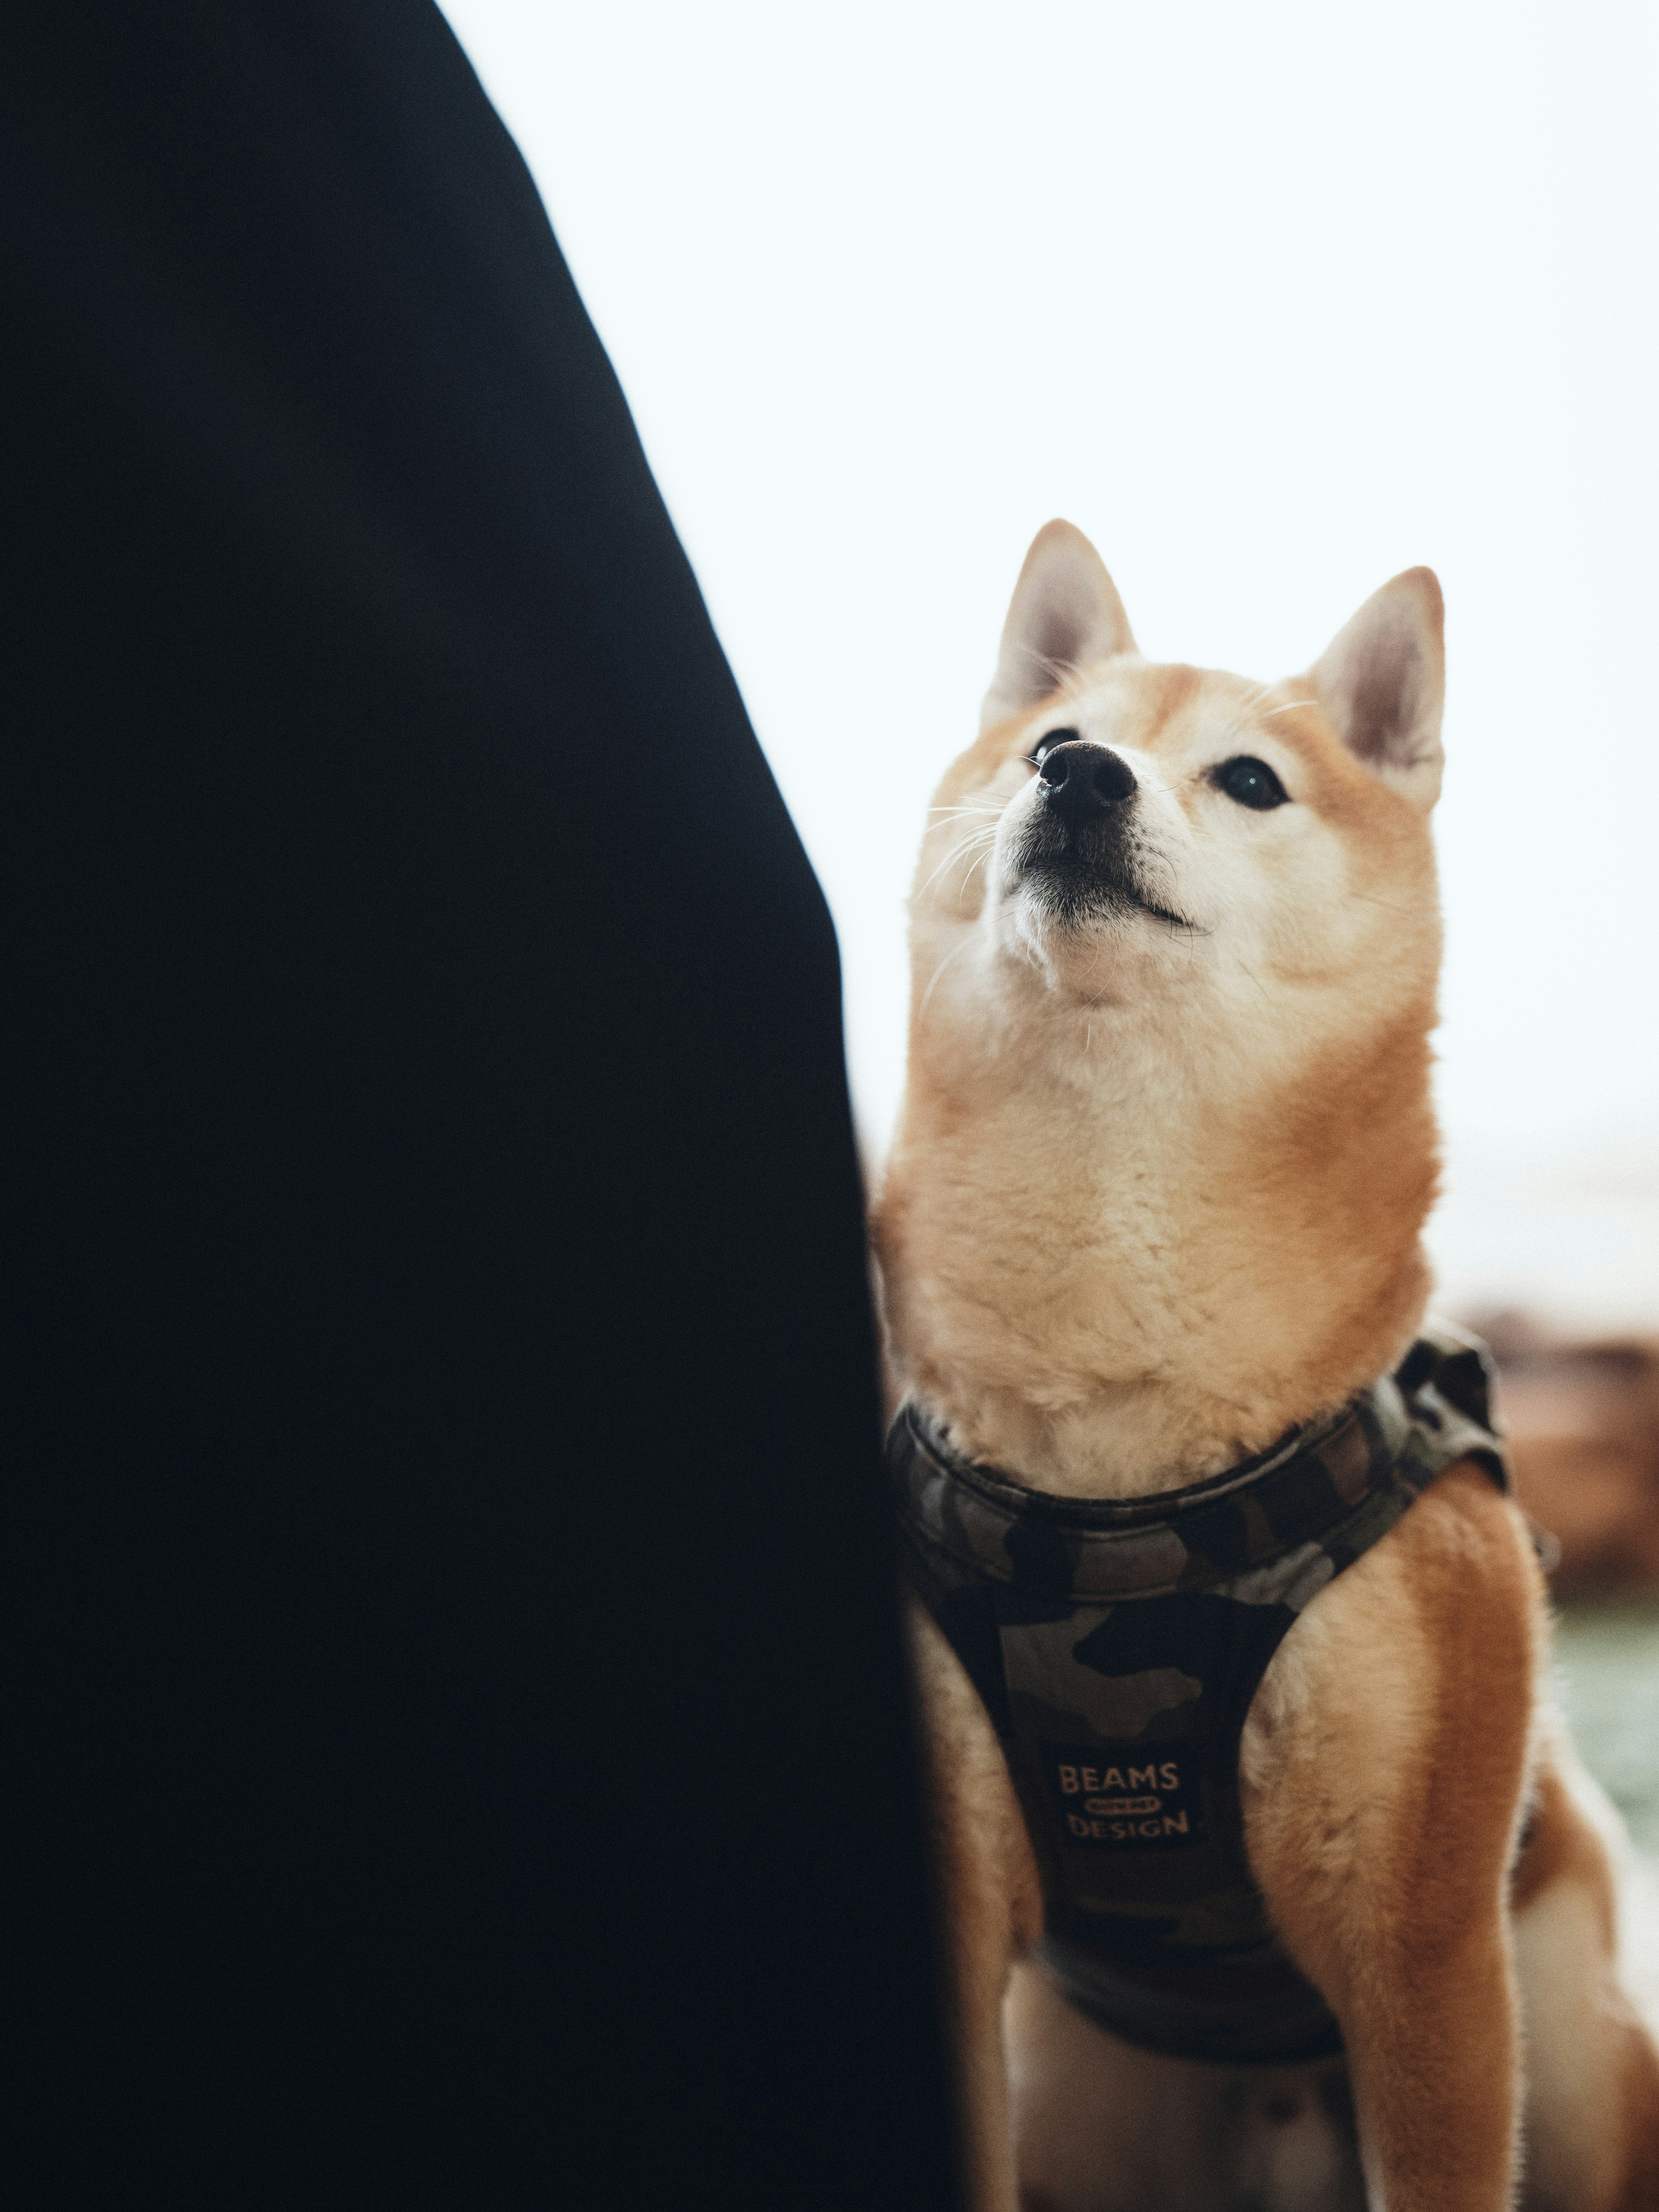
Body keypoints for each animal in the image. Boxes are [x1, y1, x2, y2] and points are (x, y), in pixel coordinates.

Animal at [871, 526, 1659, 2203]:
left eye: (1249, 780)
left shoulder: (1426, 1959)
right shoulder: (954, 1923)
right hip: (1076, 2088)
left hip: (1565, 2034)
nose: (1080, 773)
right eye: (1047, 738)